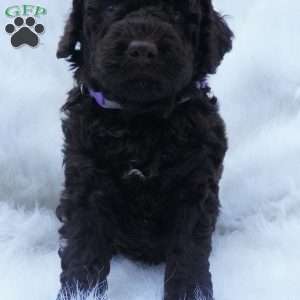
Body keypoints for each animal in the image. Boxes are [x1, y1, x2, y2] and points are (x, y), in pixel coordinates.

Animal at [55, 1, 232, 298]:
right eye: (110, 8)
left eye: (177, 13)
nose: (142, 49)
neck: (140, 118)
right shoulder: (87, 179)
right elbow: (84, 242)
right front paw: (80, 290)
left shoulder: (194, 182)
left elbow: (189, 248)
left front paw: (191, 292)